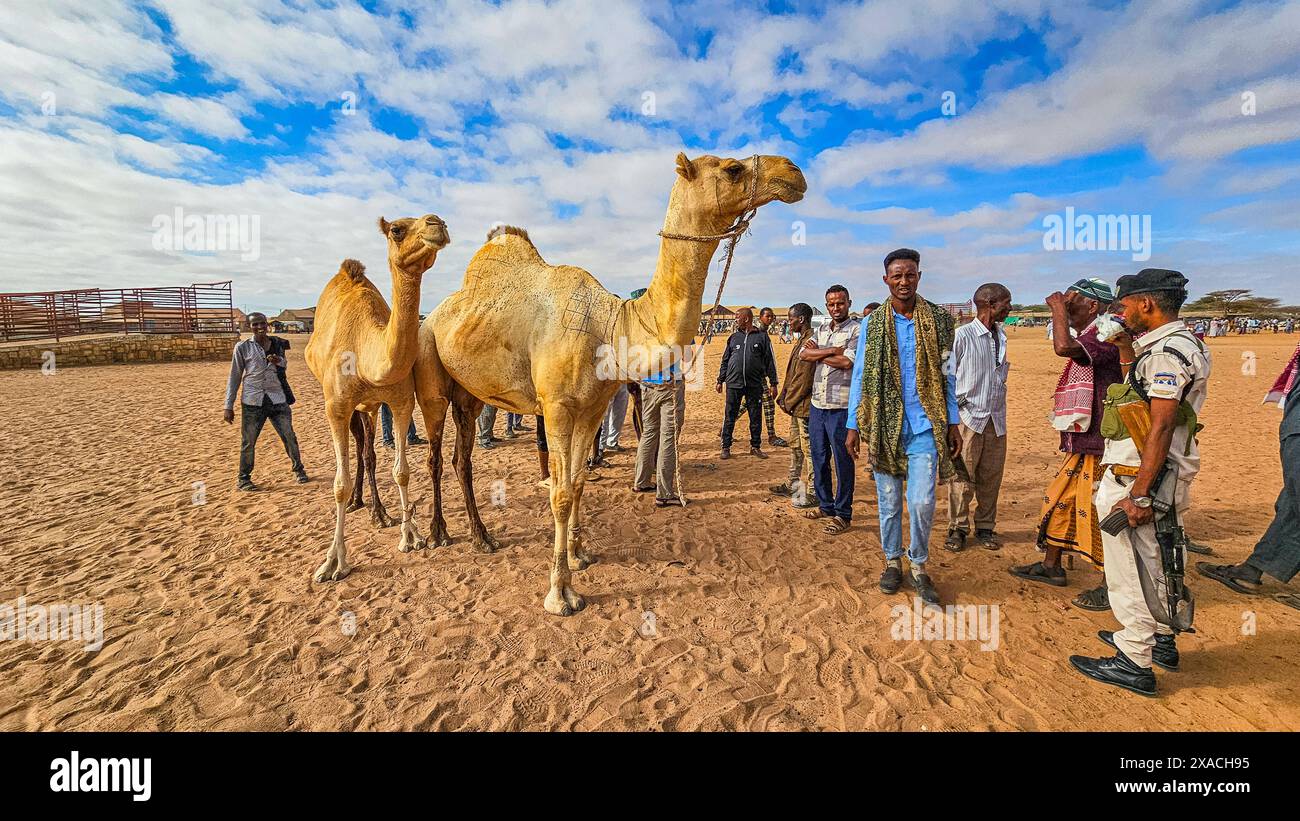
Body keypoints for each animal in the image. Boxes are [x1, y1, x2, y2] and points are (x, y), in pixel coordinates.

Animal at [305, 213, 452, 584]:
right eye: (397, 229)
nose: (437, 223)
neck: (365, 352)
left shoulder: (400, 403)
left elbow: (402, 471)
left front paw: (411, 536)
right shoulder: (336, 407)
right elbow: (338, 484)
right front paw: (333, 562)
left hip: (370, 408)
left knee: (367, 450)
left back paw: (378, 512)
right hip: (350, 406)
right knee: (361, 449)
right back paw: (361, 505)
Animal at [416, 153, 800, 615]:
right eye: (731, 168)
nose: (793, 172)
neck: (612, 325)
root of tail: (433, 315)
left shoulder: (591, 408)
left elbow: (578, 482)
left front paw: (580, 555)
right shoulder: (557, 408)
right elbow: (560, 494)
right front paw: (560, 594)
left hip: (470, 394)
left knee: (462, 459)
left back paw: (482, 537)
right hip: (431, 371)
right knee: (435, 456)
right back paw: (437, 534)